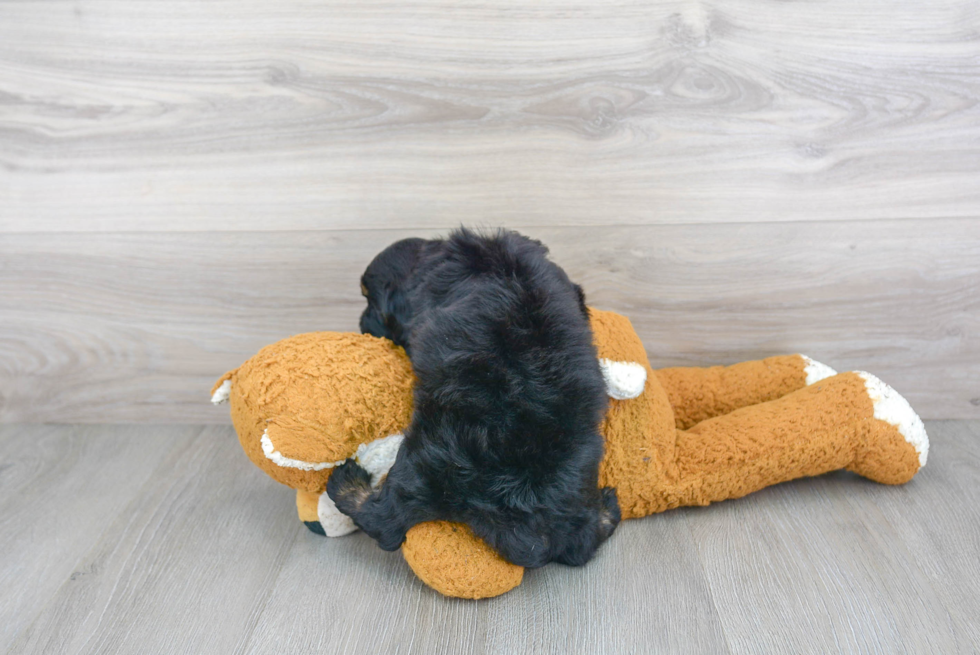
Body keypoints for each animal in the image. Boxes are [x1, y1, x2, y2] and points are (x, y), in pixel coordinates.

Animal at [330, 231, 620, 568]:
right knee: (582, 544)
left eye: (372, 304)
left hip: (422, 461)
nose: (362, 323)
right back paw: (607, 510)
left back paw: (347, 485)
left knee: (385, 521)